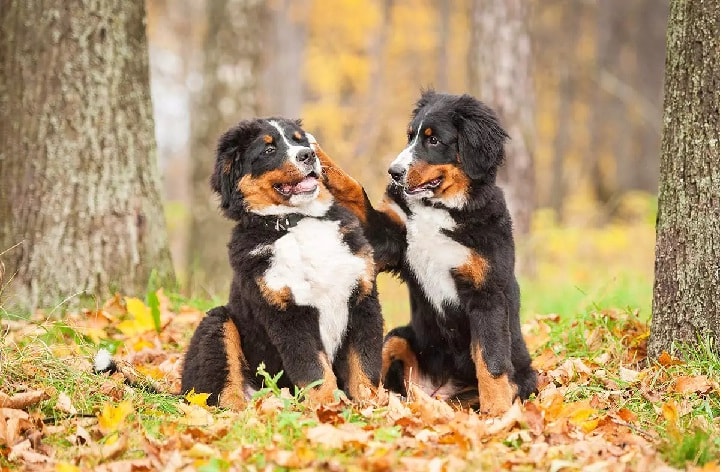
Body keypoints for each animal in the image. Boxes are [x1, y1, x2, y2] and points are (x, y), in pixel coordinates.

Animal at [180, 116, 382, 408]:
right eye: (268, 149)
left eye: (300, 140)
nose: (307, 155)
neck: (299, 221)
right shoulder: (286, 312)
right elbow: (314, 369)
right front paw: (327, 408)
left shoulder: (362, 298)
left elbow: (364, 366)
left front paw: (373, 408)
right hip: (217, 323)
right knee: (222, 394)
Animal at [310, 90, 536, 414]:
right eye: (410, 136)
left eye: (434, 140)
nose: (394, 173)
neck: (439, 209)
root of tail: (437, 391)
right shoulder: (390, 239)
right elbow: (354, 190)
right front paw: (317, 154)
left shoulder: (486, 292)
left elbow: (490, 361)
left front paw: (498, 412)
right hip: (398, 337)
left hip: (523, 376)